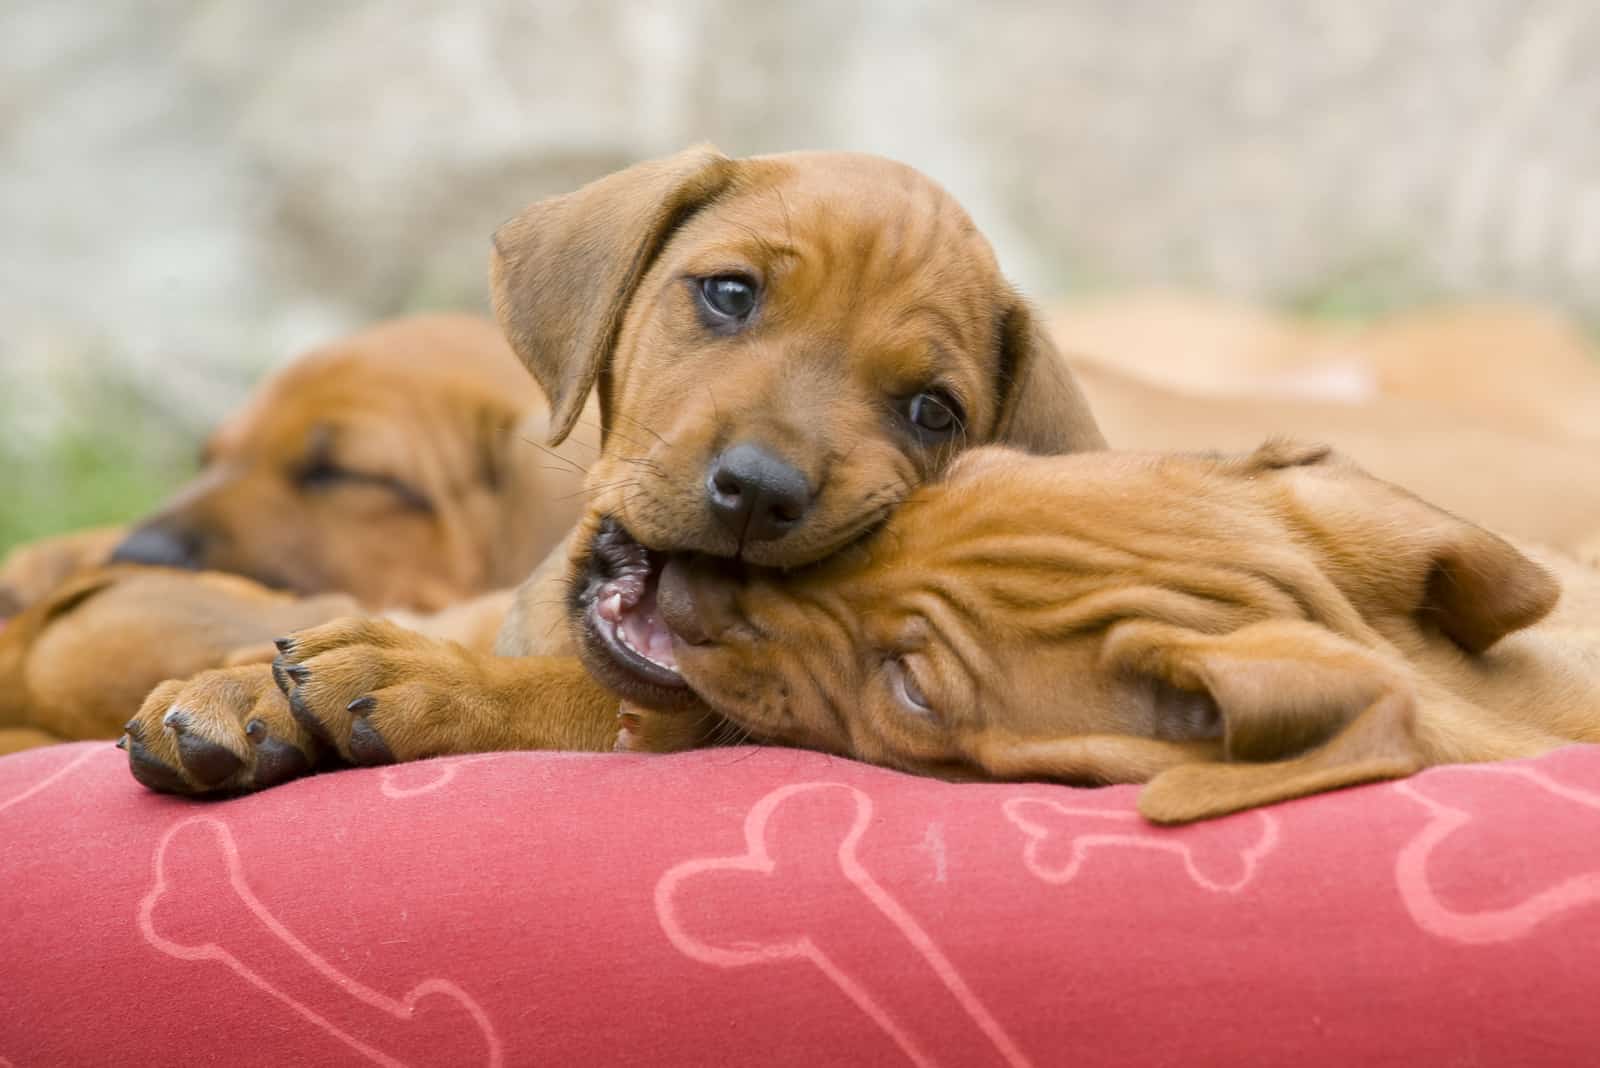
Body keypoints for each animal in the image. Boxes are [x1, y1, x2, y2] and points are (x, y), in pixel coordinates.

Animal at [118, 143, 1113, 793]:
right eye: (730, 293)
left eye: (932, 413)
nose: (760, 494)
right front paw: (250, 686)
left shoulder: (702, 720)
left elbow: (558, 691)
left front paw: (416, 675)